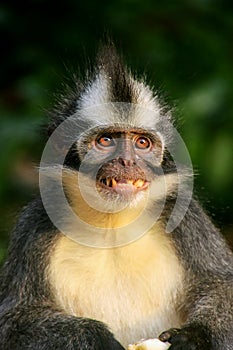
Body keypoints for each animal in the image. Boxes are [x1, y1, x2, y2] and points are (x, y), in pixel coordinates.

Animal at [0, 41, 232, 350]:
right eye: (106, 141)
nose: (127, 161)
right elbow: (13, 323)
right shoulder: (35, 224)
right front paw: (97, 338)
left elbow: (223, 284)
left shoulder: (185, 216)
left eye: (142, 143)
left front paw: (194, 336)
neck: (114, 222)